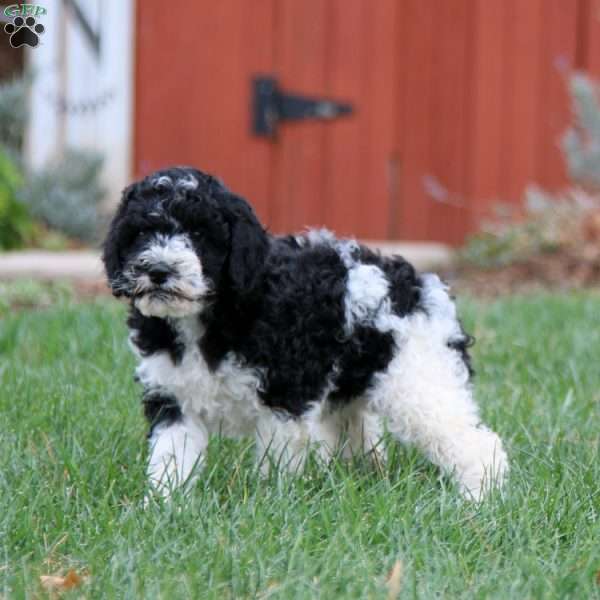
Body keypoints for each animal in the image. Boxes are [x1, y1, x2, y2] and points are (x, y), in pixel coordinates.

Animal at [102, 166, 506, 500]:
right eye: (141, 233)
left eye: (199, 233)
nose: (158, 270)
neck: (210, 314)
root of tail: (421, 285)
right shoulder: (174, 397)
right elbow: (171, 456)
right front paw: (162, 507)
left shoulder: (284, 395)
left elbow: (276, 459)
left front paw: (268, 505)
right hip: (353, 390)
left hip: (417, 377)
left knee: (471, 439)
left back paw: (479, 499)